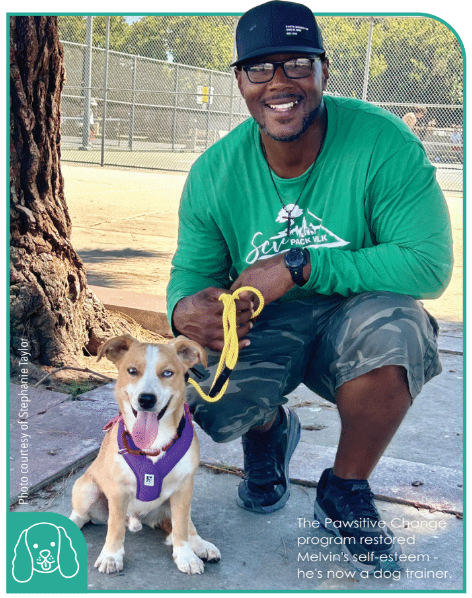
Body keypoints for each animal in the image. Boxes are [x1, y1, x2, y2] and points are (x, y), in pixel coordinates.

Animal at [69, 336, 221, 576]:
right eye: (132, 371)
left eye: (167, 373)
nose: (146, 399)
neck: (153, 444)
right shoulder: (118, 491)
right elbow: (114, 527)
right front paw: (111, 556)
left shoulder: (184, 487)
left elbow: (181, 527)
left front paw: (186, 556)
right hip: (87, 489)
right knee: (81, 516)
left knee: (186, 524)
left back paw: (200, 544)